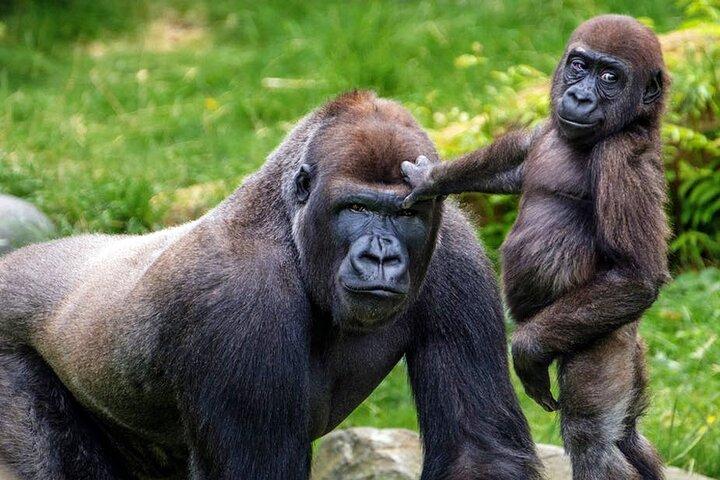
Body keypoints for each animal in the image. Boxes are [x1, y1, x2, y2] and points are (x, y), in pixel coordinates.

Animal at [0, 91, 542, 479]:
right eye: (356, 207)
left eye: (406, 214)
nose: (381, 256)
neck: (287, 224)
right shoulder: (239, 302)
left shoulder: (455, 252)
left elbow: (478, 452)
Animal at [401, 15, 670, 480]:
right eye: (579, 66)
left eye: (610, 77)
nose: (579, 96)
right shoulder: (547, 130)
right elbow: (513, 162)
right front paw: (431, 179)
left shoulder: (623, 158)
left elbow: (635, 274)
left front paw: (525, 350)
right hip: (633, 354)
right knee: (629, 434)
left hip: (606, 340)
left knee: (593, 439)